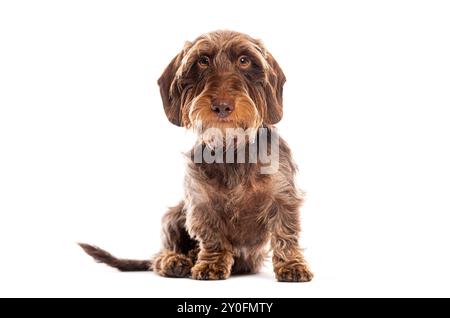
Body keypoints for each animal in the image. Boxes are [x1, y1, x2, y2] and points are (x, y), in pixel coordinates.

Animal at [80, 29, 312, 282]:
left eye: (244, 60)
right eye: (203, 61)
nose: (222, 106)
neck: (232, 150)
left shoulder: (283, 197)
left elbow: (285, 233)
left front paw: (292, 265)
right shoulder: (200, 203)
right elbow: (212, 237)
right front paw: (211, 263)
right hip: (173, 215)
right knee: (159, 255)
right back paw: (175, 260)